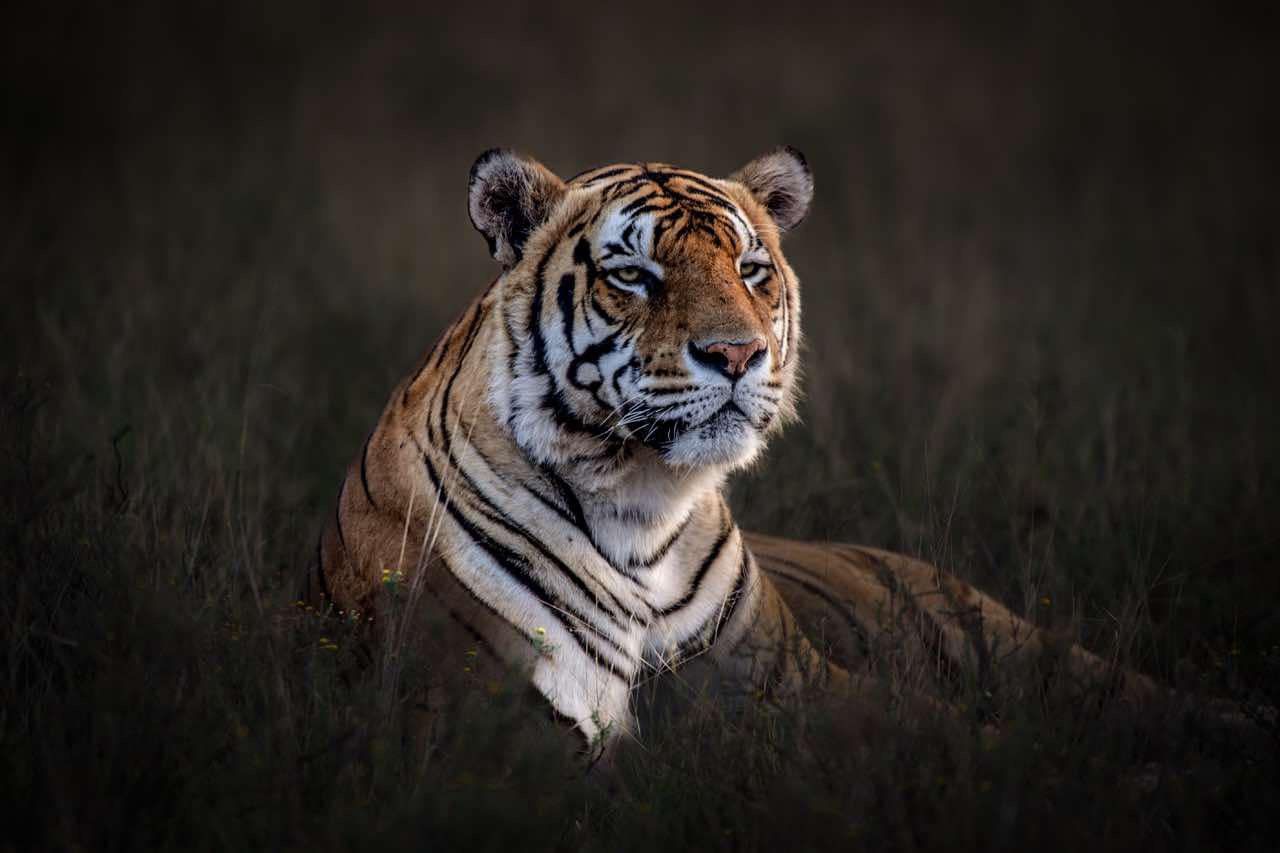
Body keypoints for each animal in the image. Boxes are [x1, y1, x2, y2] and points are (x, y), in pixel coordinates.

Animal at [311, 147, 1156, 752]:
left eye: (751, 270)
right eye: (633, 275)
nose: (737, 354)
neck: (644, 508)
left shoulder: (790, 679)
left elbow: (963, 734)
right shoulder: (496, 711)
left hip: (1015, 642)